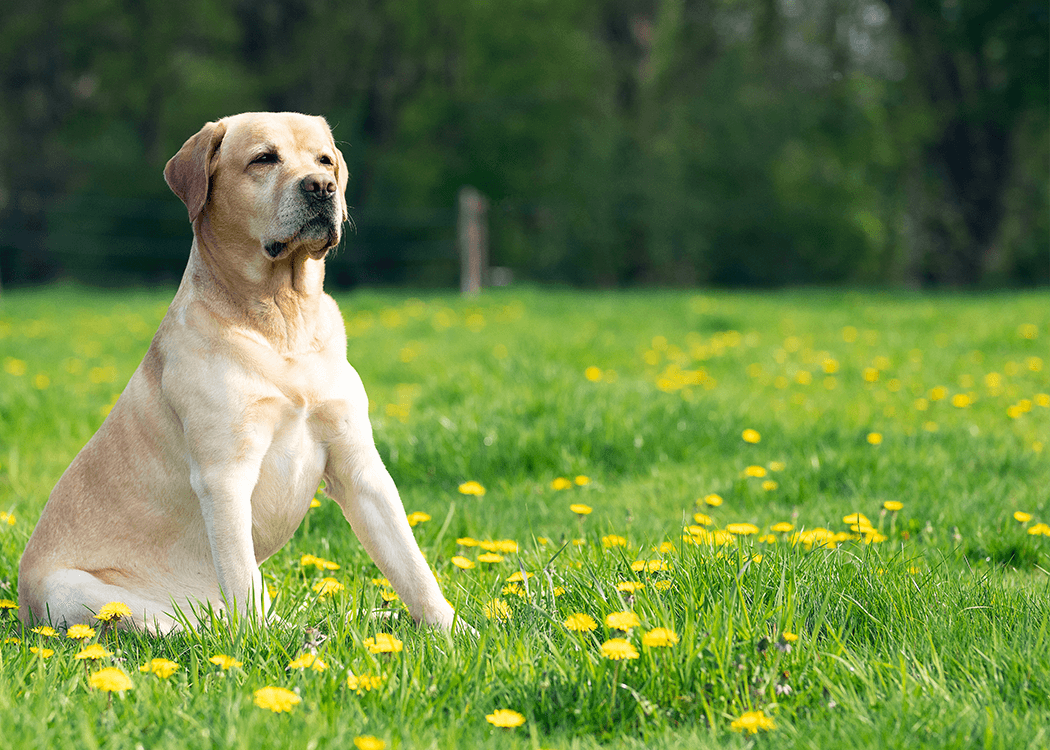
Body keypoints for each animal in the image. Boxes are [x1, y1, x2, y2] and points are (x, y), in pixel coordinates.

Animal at [17, 110, 455, 630]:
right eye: (264, 158)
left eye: (324, 160)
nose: (322, 187)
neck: (283, 319)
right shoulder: (224, 476)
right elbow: (245, 584)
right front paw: (261, 645)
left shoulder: (360, 466)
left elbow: (413, 567)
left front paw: (456, 633)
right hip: (79, 591)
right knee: (194, 626)